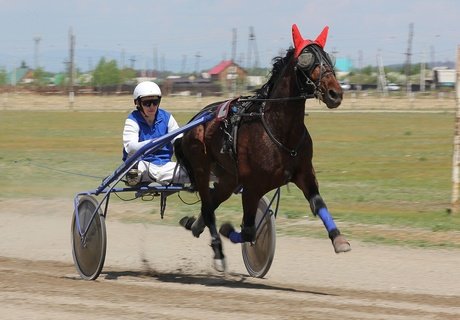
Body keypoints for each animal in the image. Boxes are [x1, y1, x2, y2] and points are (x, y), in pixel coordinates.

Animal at [174, 23, 350, 272]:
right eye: (306, 61)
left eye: (328, 58)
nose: (335, 93)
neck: (280, 131)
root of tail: (194, 121)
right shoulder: (252, 187)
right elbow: (248, 231)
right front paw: (229, 231)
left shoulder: (305, 174)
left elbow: (318, 204)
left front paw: (339, 239)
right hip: (201, 168)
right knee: (209, 208)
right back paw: (217, 250)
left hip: (228, 178)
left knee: (213, 200)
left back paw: (195, 224)